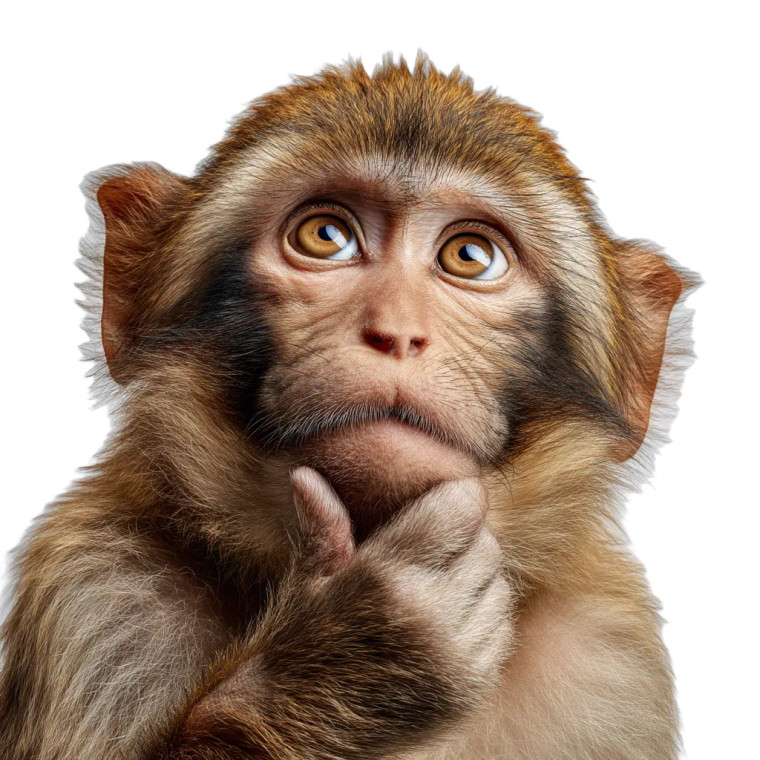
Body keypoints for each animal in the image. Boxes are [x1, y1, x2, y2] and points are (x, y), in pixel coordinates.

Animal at [0, 54, 697, 760]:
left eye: (470, 256)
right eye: (325, 235)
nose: (397, 332)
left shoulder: (610, 657)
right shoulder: (99, 590)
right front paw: (367, 646)